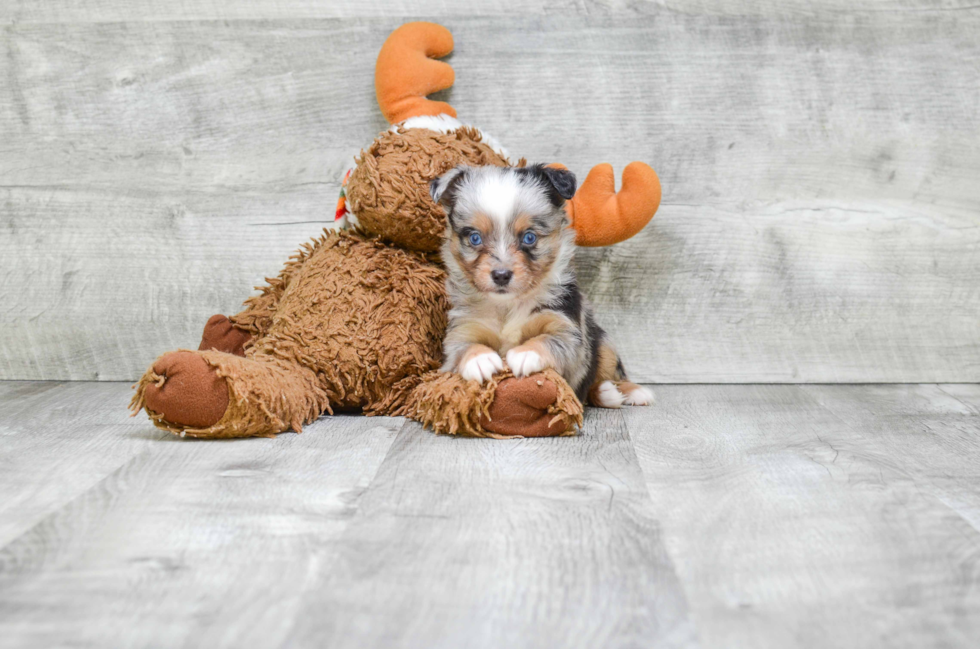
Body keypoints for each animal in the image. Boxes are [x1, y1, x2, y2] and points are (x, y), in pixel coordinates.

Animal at [428, 166, 652, 410]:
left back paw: (627, 392)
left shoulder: (567, 331)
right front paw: (480, 359)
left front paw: (525, 353)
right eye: (475, 238)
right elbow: (463, 347)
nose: (501, 275)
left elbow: (547, 340)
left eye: (529, 237)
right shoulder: (462, 330)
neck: (509, 305)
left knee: (609, 375)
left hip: (604, 343)